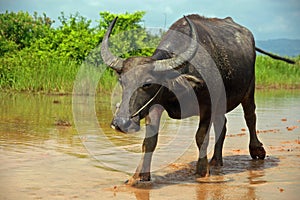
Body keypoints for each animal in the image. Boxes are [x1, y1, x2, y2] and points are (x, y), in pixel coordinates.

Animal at [100, 14, 292, 185]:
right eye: (122, 81)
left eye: (147, 84)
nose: (120, 123)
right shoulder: (155, 105)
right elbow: (150, 141)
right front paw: (138, 176)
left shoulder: (207, 104)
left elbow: (201, 137)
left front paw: (202, 171)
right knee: (222, 124)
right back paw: (216, 160)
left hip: (249, 88)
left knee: (250, 117)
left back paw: (256, 150)